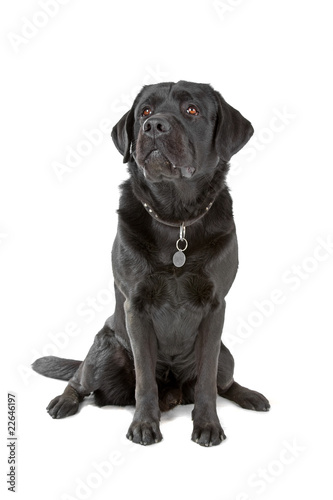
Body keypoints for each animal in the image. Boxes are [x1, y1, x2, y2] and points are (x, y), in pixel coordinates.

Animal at [32, 80, 268, 448]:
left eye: (191, 110)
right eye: (144, 110)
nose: (154, 125)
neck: (176, 219)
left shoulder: (215, 308)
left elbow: (206, 383)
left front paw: (208, 425)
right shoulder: (136, 308)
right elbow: (145, 379)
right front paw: (144, 424)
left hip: (227, 355)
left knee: (225, 382)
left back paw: (250, 396)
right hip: (104, 349)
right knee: (79, 379)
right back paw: (64, 401)